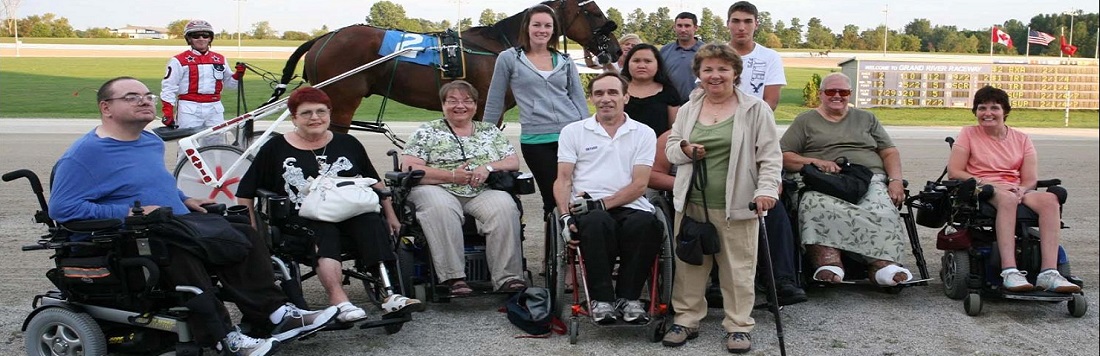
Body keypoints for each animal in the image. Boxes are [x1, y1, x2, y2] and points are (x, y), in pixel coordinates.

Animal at [266, 0, 620, 131]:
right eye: (593, 12)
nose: (615, 48)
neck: (495, 47)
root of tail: (324, 38)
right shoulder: (485, 109)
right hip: (341, 101)